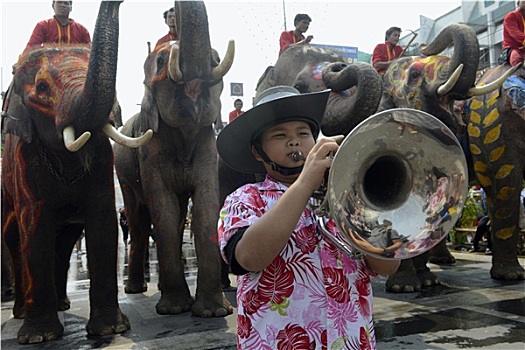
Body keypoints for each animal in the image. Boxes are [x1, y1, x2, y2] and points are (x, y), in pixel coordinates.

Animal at [0, 0, 150, 344]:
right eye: (42, 88)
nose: (119, 2)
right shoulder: (25, 157)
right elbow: (35, 226)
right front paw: (38, 338)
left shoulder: (102, 158)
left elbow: (103, 223)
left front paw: (111, 330)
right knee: (14, 238)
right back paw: (20, 312)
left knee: (65, 241)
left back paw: (63, 304)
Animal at [113, 0, 234, 318]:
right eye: (160, 60)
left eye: (216, 57)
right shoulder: (149, 151)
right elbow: (162, 209)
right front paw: (175, 309)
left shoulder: (207, 146)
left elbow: (205, 206)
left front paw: (214, 312)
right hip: (123, 174)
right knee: (139, 220)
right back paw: (136, 289)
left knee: (179, 218)